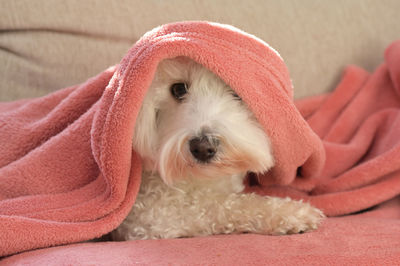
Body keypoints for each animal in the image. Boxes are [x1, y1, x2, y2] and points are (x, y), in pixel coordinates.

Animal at [111, 57, 324, 240]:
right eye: (178, 89)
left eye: (238, 93)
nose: (202, 148)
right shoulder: (151, 215)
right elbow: (222, 205)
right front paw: (291, 212)